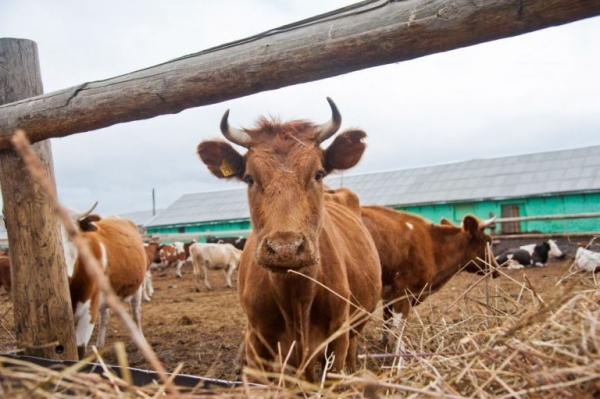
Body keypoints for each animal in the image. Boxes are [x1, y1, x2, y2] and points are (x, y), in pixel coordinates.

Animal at [199, 98, 382, 382]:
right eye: (250, 178)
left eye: (318, 174)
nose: (285, 248)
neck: (295, 300)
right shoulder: (257, 343)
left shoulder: (336, 341)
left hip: (355, 328)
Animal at [360, 206, 496, 346]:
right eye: (489, 241)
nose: (495, 269)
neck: (432, 245)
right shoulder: (404, 292)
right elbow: (398, 327)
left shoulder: (389, 294)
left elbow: (387, 322)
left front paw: (384, 345)